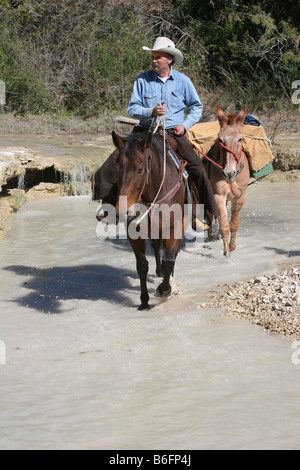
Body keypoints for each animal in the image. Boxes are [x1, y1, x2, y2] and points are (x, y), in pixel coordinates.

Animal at [112, 130, 188, 310]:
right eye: (117, 169)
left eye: (140, 169)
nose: (122, 211)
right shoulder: (134, 230)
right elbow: (142, 265)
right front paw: (144, 300)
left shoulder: (175, 226)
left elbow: (169, 259)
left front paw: (164, 290)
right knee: (155, 245)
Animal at [206, 105, 251, 258]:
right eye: (220, 140)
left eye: (240, 139)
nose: (229, 173)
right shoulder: (218, 196)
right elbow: (225, 225)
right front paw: (226, 251)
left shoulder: (240, 197)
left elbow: (234, 224)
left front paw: (232, 246)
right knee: (209, 216)